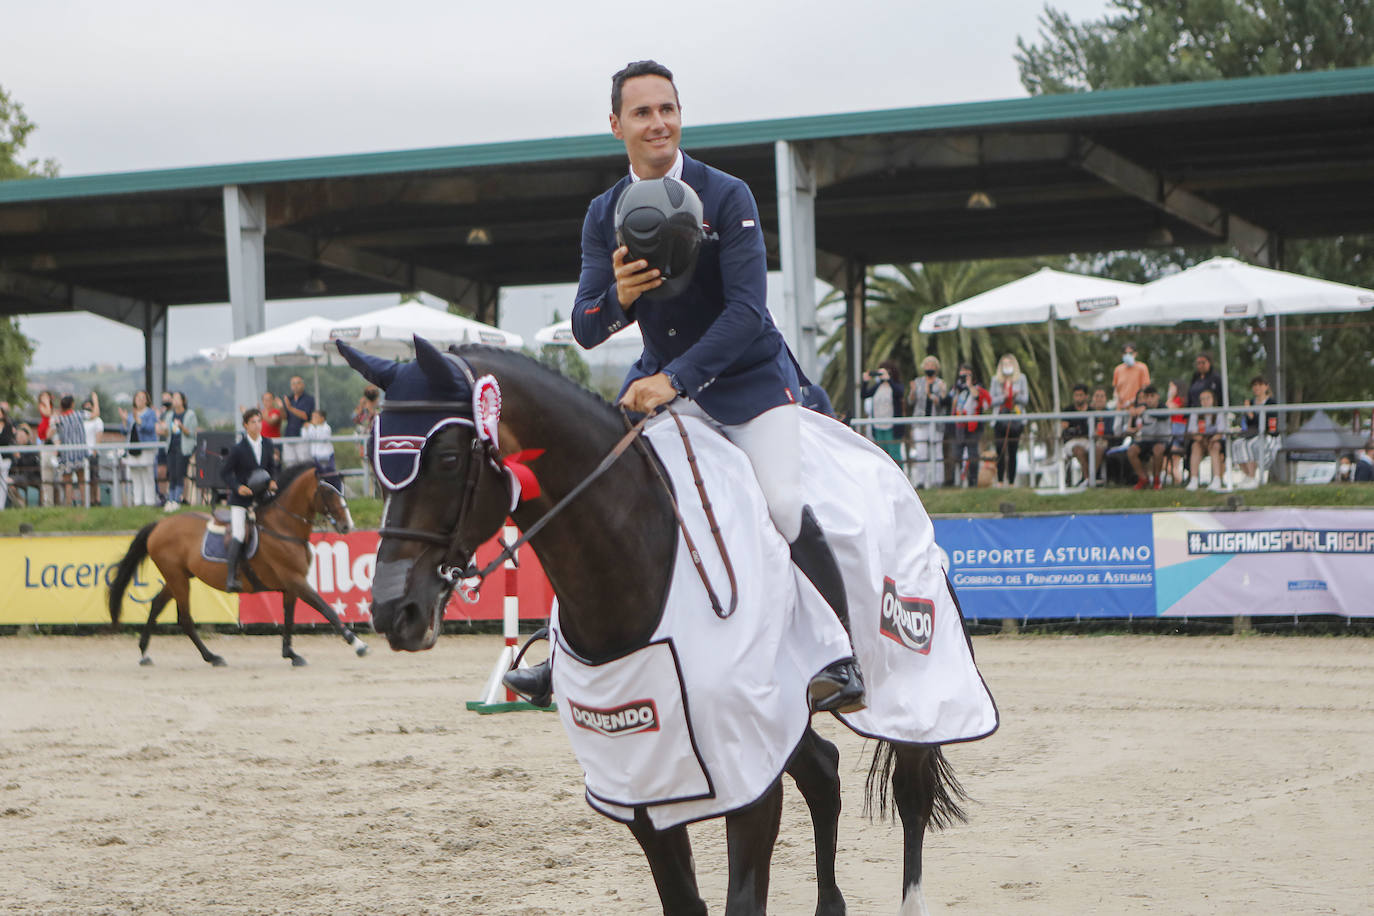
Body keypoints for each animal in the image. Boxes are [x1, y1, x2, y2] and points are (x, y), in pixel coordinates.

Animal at [108, 462, 368, 668]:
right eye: (329, 493)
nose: (348, 526)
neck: (283, 527)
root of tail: (160, 525)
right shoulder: (295, 580)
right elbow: (327, 609)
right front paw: (357, 644)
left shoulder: (291, 586)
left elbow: (289, 618)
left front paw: (290, 654)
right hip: (178, 579)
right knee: (185, 619)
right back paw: (212, 657)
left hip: (178, 577)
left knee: (156, 606)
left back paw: (145, 652)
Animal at [346, 337, 968, 916]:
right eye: (375, 460)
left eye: (449, 459)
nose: (393, 611)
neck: (641, 561)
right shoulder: (645, 776)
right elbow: (682, 900)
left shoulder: (748, 773)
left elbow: (743, 898)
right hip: (782, 717)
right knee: (823, 771)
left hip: (915, 683)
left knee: (911, 791)